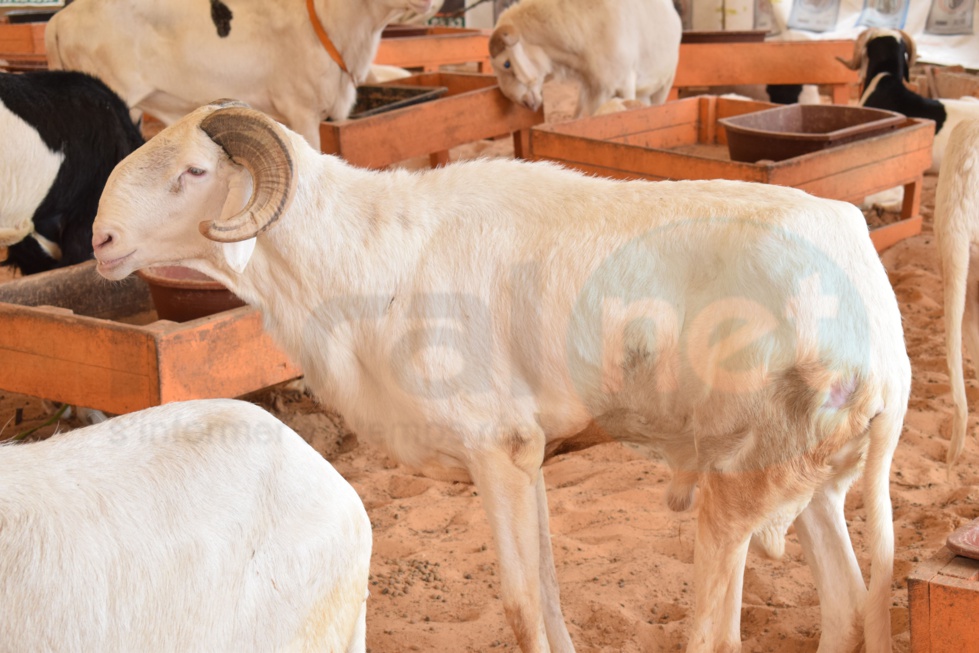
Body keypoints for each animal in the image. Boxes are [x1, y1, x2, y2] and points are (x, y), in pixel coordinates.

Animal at [91, 102, 910, 652]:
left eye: (194, 172)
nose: (99, 239)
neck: (363, 258)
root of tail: (880, 326)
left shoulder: (496, 448)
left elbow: (518, 601)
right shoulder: (530, 457)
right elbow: (544, 588)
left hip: (742, 485)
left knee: (720, 631)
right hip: (812, 478)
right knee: (845, 604)